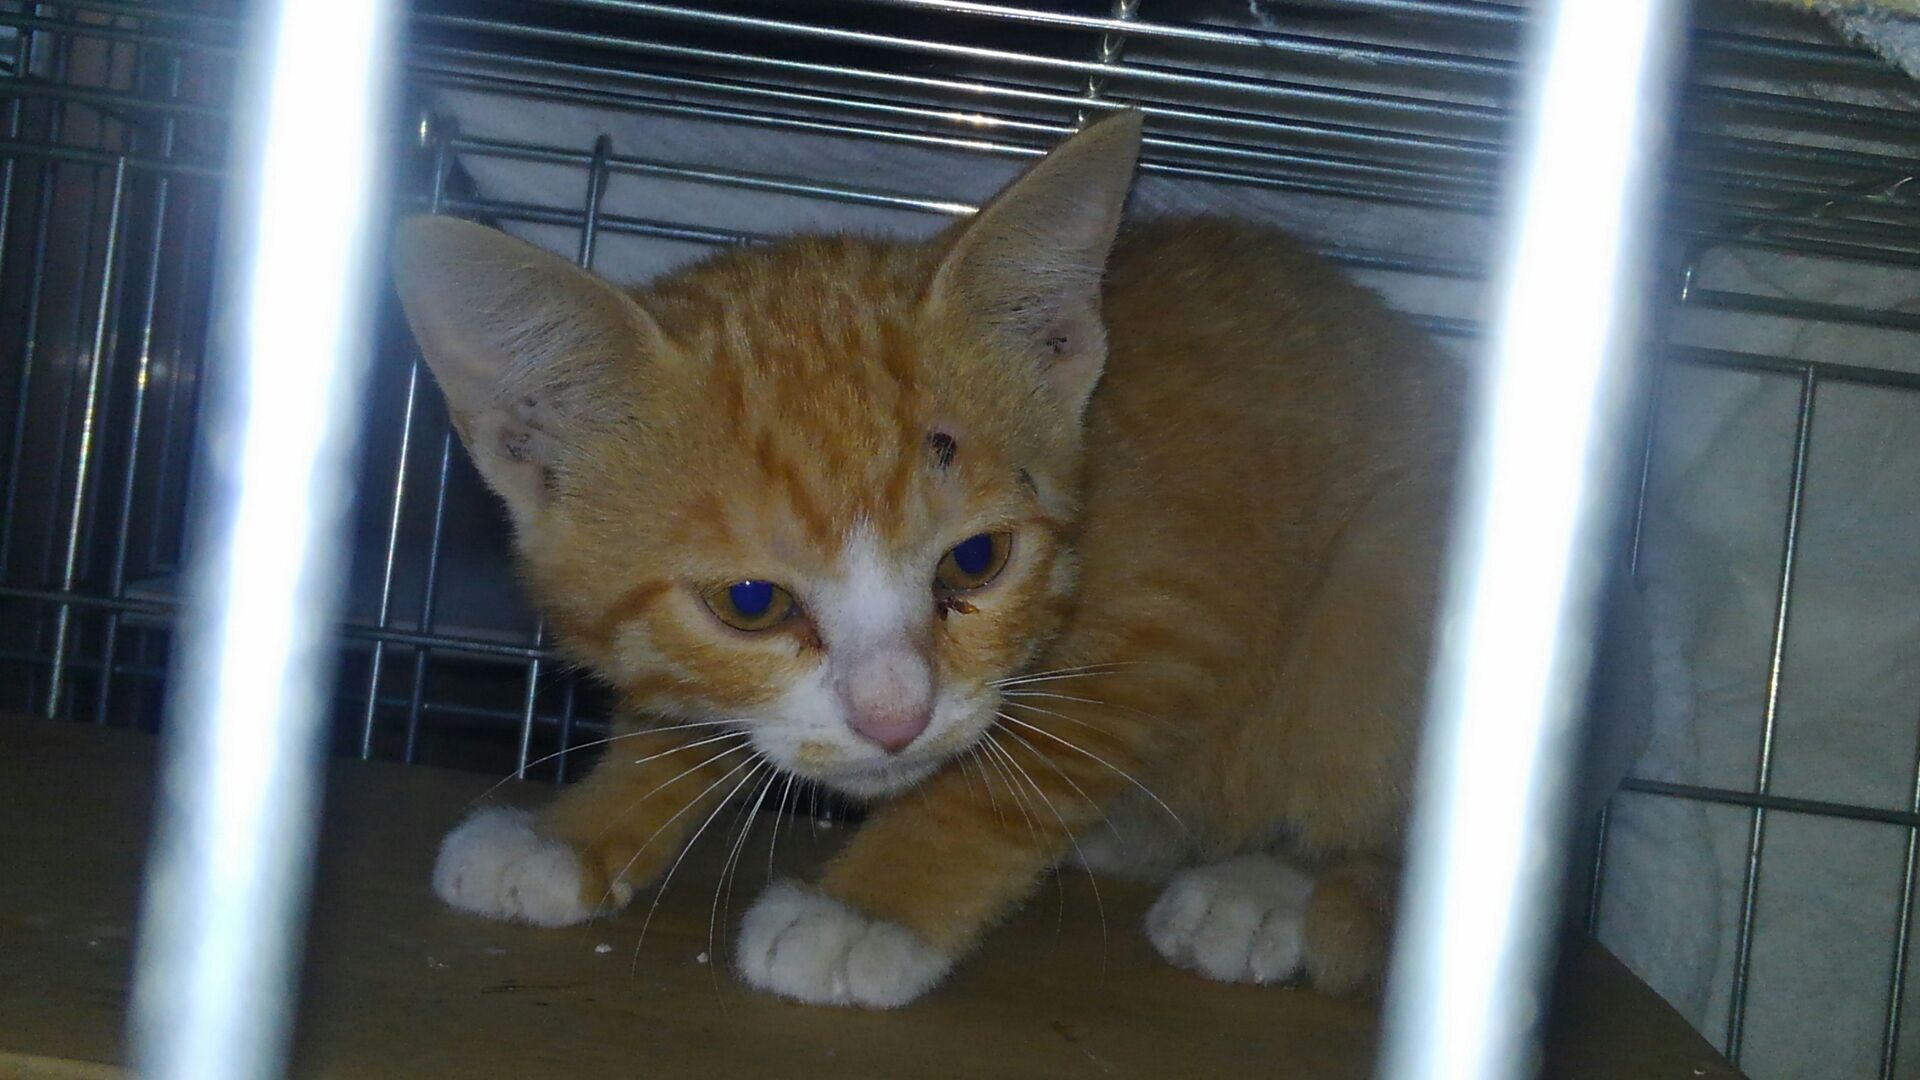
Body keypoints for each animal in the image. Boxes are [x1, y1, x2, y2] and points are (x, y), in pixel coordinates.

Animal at [391, 110, 1462, 1008]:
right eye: (751, 602)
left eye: (976, 560)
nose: (895, 721)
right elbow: (687, 716)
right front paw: (576, 827)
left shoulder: (1172, 611)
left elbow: (1006, 776)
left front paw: (871, 908)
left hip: (1384, 573)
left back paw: (1267, 890)